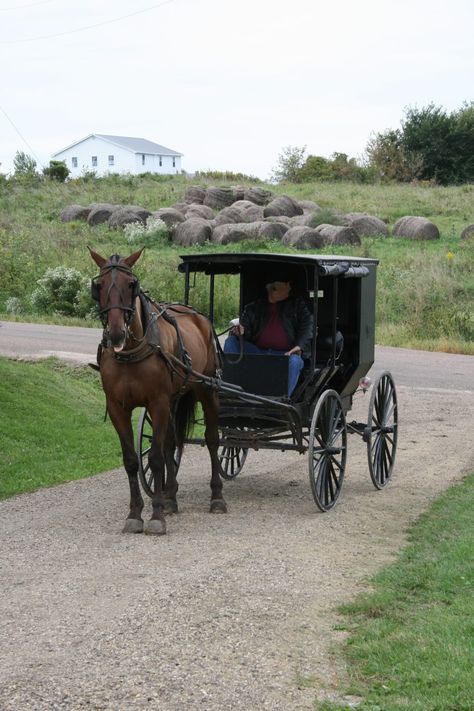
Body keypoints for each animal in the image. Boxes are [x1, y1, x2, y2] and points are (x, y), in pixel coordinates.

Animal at [89, 249, 228, 536]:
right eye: (99, 286)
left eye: (131, 284)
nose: (116, 334)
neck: (131, 353)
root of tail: (198, 315)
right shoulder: (118, 407)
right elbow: (134, 460)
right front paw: (136, 514)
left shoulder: (158, 403)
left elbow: (154, 458)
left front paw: (156, 517)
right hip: (175, 399)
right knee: (171, 443)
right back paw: (171, 497)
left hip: (207, 390)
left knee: (211, 440)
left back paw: (216, 497)